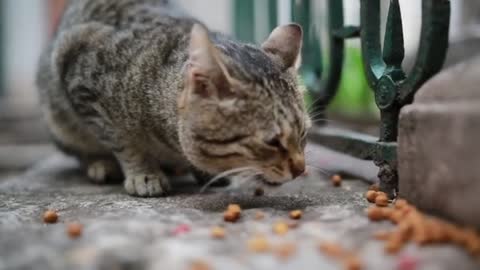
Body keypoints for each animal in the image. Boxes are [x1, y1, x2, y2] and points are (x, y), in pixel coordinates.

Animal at [35, 0, 310, 198]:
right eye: (272, 142)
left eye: (303, 134)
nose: (301, 169)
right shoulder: (79, 74)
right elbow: (123, 142)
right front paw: (144, 173)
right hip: (58, 119)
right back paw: (101, 164)